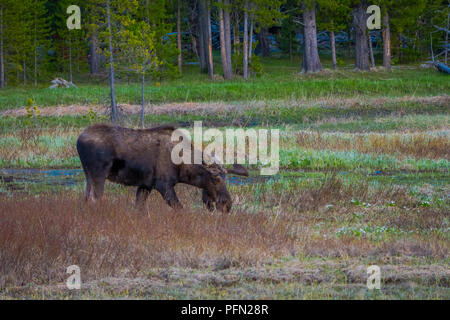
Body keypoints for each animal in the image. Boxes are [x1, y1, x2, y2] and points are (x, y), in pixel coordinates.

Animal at [75, 124, 248, 212]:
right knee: (95, 200)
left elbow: (139, 209)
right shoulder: (163, 185)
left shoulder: (145, 185)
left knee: (86, 198)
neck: (183, 167)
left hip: (87, 175)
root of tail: (78, 140)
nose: (227, 204)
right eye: (215, 178)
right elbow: (179, 208)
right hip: (98, 174)